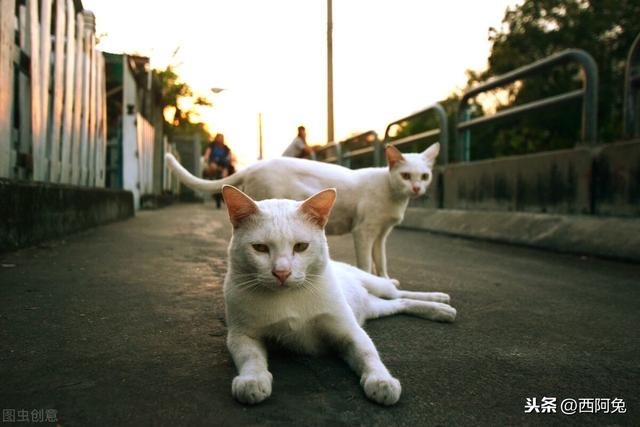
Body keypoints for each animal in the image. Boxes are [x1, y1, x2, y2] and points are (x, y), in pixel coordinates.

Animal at [166, 142, 440, 280]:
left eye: (424, 176)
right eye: (406, 176)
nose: (416, 188)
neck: (394, 196)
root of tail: (257, 165)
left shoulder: (381, 235)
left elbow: (380, 260)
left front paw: (384, 279)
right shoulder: (363, 231)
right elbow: (365, 262)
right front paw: (372, 280)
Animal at [220, 186, 456, 406]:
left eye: (301, 246)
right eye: (259, 248)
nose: (282, 273)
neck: (290, 298)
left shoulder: (349, 331)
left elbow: (368, 354)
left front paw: (382, 381)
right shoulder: (242, 335)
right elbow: (250, 356)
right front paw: (252, 379)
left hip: (378, 286)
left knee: (398, 292)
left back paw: (439, 301)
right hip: (376, 307)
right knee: (400, 303)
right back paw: (439, 310)